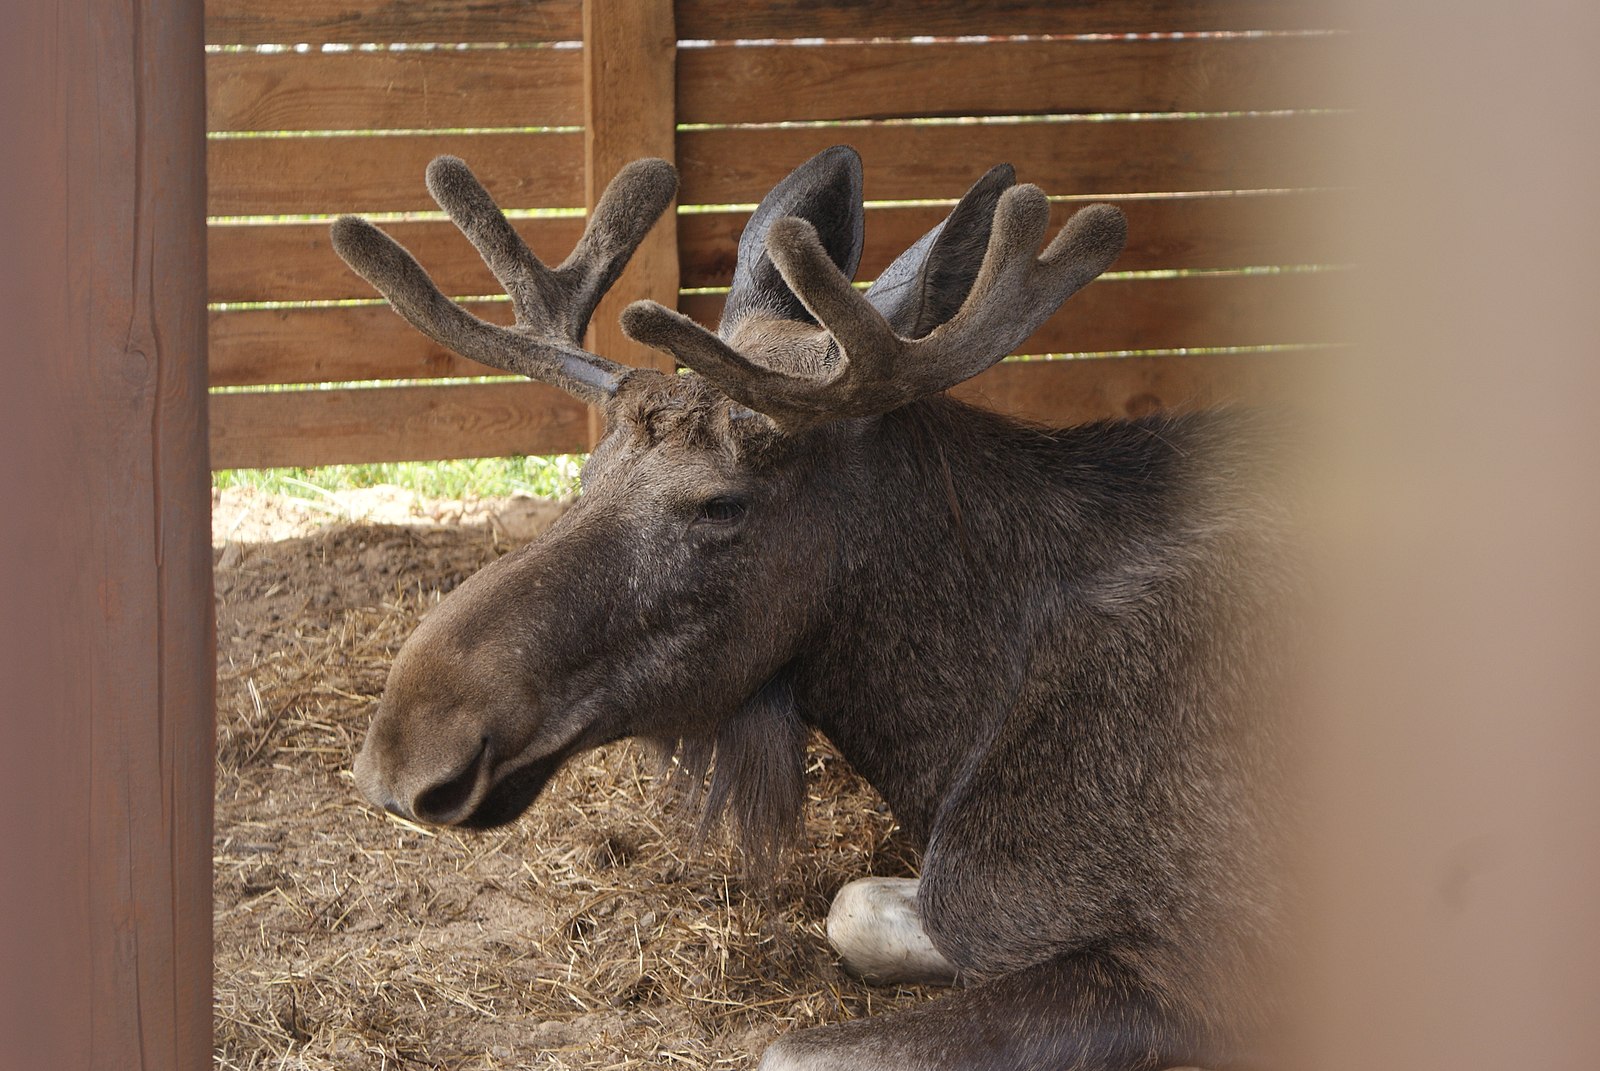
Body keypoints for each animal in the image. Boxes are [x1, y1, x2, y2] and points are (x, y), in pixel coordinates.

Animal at [334, 144, 1286, 1069]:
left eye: (721, 503)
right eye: (587, 471)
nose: (406, 747)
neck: (954, 729)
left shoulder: (1198, 968)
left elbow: (796, 1050)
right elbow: (855, 906)